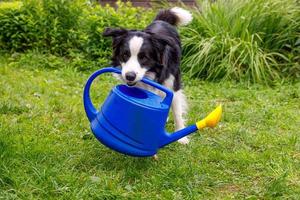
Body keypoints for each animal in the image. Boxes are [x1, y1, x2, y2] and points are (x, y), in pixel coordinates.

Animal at [103, 7, 192, 145]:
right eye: (125, 55)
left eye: (144, 57)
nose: (129, 76)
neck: (152, 72)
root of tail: (161, 20)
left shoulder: (173, 84)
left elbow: (177, 111)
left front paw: (181, 137)